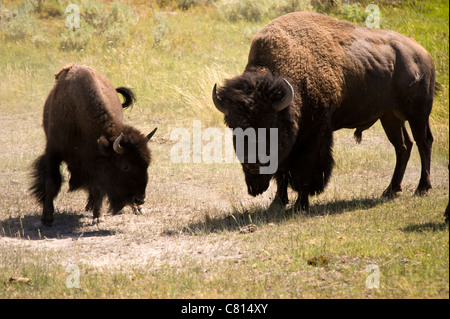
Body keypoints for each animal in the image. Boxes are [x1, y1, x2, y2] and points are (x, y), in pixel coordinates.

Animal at [30, 63, 157, 228]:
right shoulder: (53, 152)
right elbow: (51, 184)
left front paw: (99, 217)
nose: (139, 199)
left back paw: (134, 209)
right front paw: (46, 218)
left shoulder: (95, 165)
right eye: (125, 165)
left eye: (147, 164)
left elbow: (97, 189)